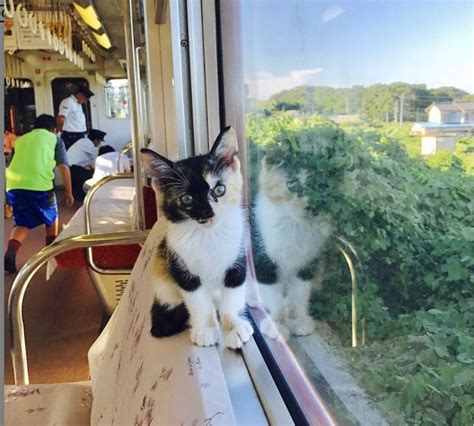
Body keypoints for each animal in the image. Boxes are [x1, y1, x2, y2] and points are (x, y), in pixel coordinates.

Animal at [140, 126, 254, 350]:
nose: (208, 214)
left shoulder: (237, 258)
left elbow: (232, 294)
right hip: (162, 269)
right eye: (187, 199)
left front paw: (234, 327)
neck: (208, 236)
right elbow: (198, 301)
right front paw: (206, 329)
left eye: (219, 189)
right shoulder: (180, 266)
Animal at [254, 158, 332, 338]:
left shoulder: (310, 262)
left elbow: (300, 291)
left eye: (321, 187)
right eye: (292, 184)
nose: (310, 206)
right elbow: (272, 292)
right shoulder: (263, 257)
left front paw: (299, 319)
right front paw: (276, 324)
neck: (295, 226)